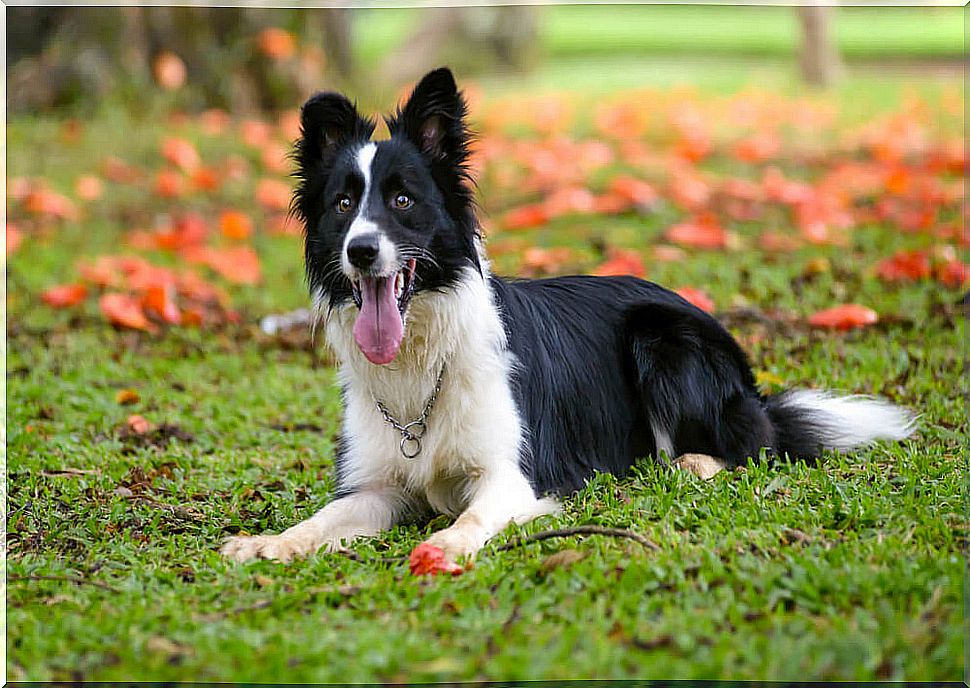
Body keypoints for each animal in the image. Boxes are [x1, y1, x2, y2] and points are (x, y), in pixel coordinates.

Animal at [221, 68, 916, 564]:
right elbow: (324, 518)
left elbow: (473, 513)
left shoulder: (514, 475)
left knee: (752, 447)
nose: (361, 251)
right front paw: (270, 543)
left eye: (402, 200)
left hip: (664, 341)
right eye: (343, 204)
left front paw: (448, 543)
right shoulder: (377, 487)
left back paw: (690, 463)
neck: (423, 357)